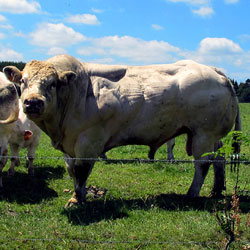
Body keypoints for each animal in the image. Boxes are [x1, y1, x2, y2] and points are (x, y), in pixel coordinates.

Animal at [3, 55, 241, 207]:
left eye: (52, 83)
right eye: (22, 81)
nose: (33, 103)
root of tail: (213, 70)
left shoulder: (89, 141)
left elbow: (82, 170)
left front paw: (77, 199)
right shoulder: (71, 145)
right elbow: (72, 170)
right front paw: (79, 193)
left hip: (204, 134)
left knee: (203, 164)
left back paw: (191, 194)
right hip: (212, 137)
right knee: (219, 160)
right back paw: (216, 190)